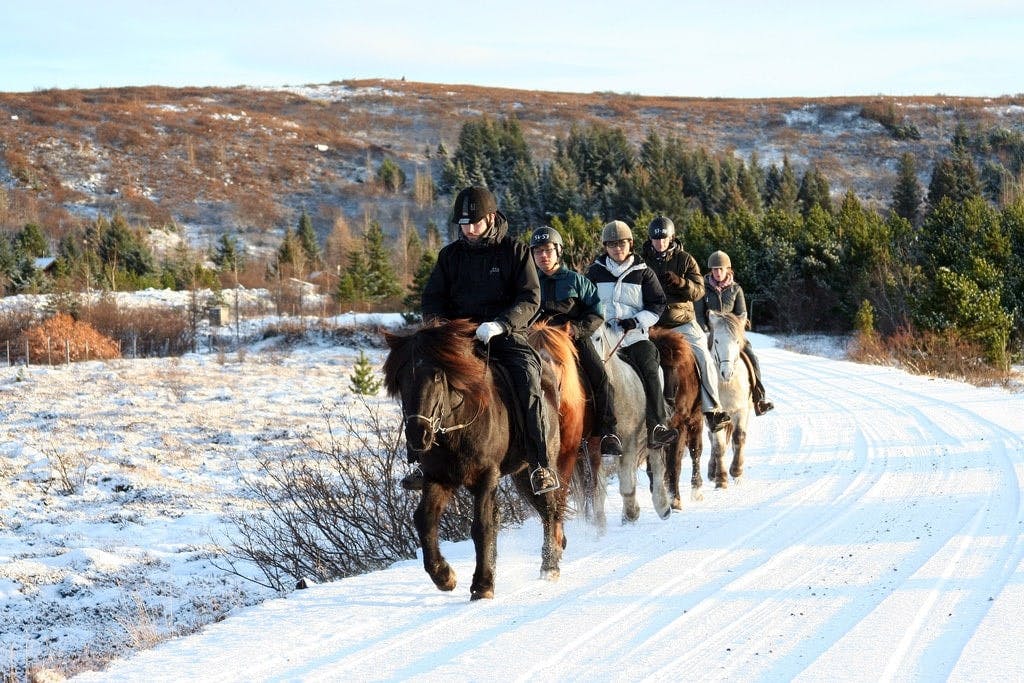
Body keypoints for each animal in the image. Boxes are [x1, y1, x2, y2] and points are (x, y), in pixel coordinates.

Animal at [383, 319, 563, 600]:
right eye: (401, 379)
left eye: (437, 375)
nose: (418, 435)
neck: (456, 426)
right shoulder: (437, 476)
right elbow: (424, 519)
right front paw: (444, 576)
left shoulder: (486, 475)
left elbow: (481, 526)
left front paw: (482, 586)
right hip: (519, 475)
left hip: (536, 466)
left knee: (549, 511)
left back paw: (549, 567)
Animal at [587, 323, 671, 529]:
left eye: (598, 338)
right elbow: (598, 486)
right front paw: (599, 522)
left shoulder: (629, 441)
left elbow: (626, 483)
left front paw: (632, 514)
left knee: (656, 463)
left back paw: (662, 507)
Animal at [649, 327, 705, 509]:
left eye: (674, 369)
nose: (669, 402)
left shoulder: (680, 426)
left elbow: (675, 463)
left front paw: (675, 500)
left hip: (695, 422)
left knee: (695, 451)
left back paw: (696, 490)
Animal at [706, 310, 753, 487]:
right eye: (716, 340)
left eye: (737, 340)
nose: (727, 373)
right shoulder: (714, 415)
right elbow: (718, 446)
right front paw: (721, 478)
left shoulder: (741, 410)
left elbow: (739, 438)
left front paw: (737, 471)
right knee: (713, 440)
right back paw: (712, 472)